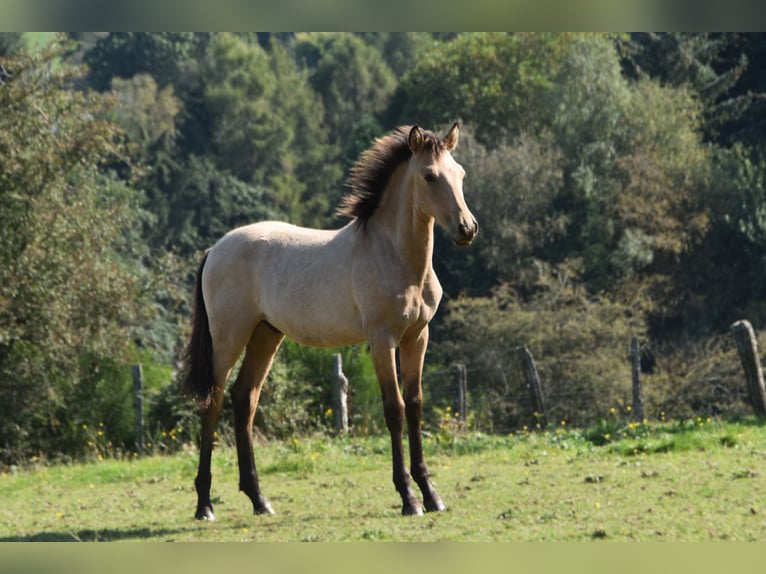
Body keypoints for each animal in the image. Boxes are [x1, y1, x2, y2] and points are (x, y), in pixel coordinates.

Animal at [182, 122, 476, 520]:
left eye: (460, 174)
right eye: (430, 176)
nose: (467, 229)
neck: (394, 256)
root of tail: (215, 249)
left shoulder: (417, 337)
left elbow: (415, 406)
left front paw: (431, 495)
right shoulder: (382, 340)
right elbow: (395, 409)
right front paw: (408, 498)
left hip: (265, 335)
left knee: (245, 400)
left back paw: (259, 500)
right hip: (229, 338)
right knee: (212, 403)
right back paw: (205, 504)